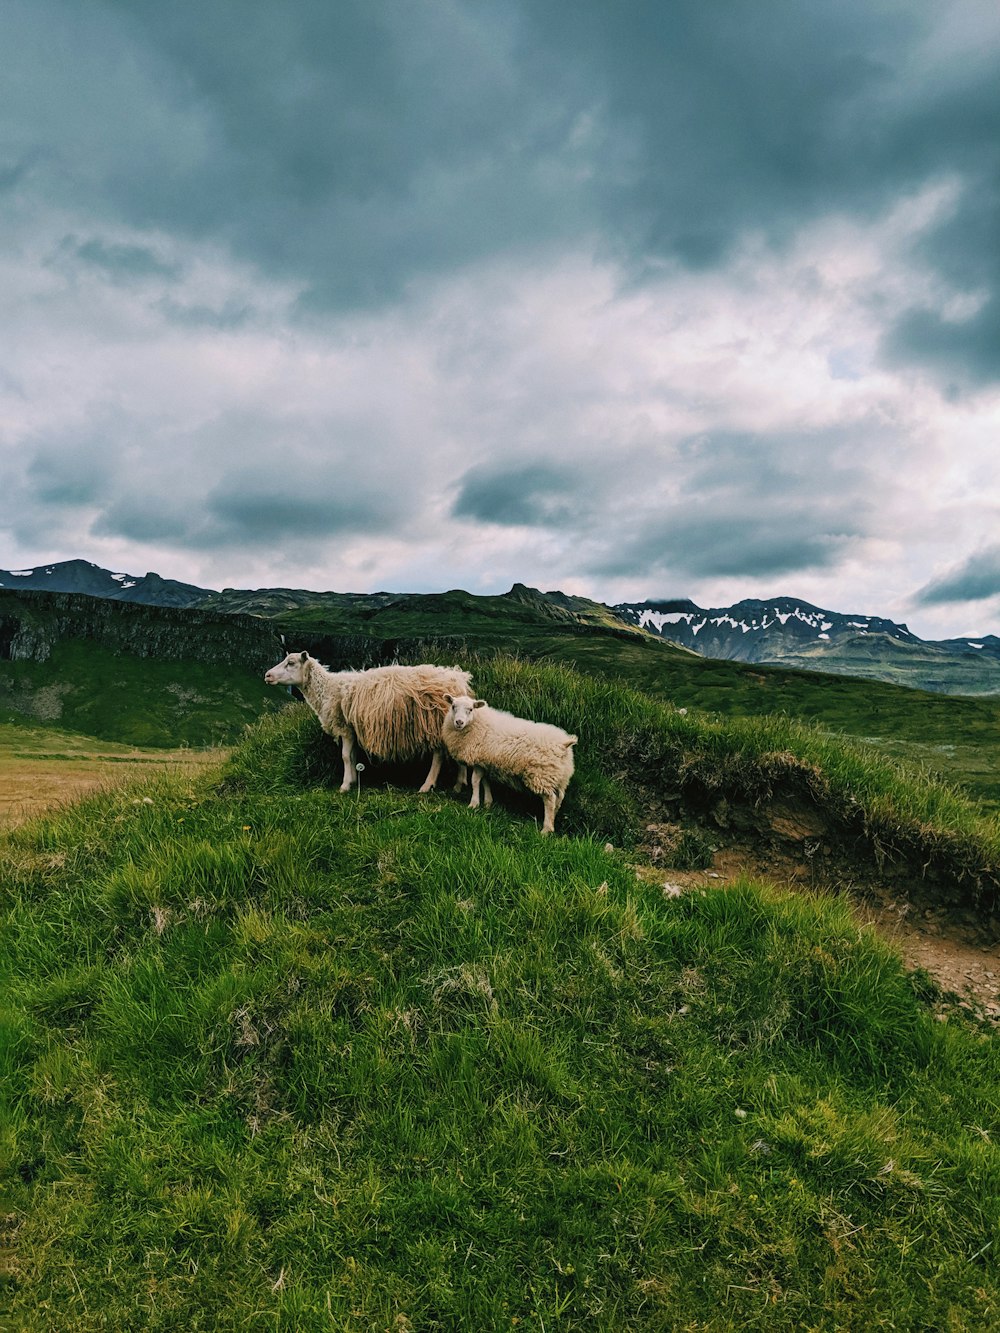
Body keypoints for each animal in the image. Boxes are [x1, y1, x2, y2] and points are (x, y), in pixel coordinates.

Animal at [264, 653, 472, 789]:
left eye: (290, 662)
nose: (267, 675)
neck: (327, 688)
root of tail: (458, 679)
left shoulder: (344, 726)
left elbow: (345, 756)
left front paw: (345, 786)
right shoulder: (353, 729)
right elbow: (352, 756)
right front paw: (353, 780)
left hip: (434, 721)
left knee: (438, 756)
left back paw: (427, 786)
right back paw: (460, 784)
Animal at [440, 698, 578, 831]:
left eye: (470, 709)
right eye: (453, 706)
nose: (459, 722)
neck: (479, 722)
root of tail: (563, 744)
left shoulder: (478, 760)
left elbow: (475, 781)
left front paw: (474, 804)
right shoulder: (484, 761)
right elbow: (485, 781)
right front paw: (488, 802)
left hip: (542, 775)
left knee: (550, 800)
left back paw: (546, 829)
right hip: (559, 777)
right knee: (559, 798)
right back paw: (552, 819)